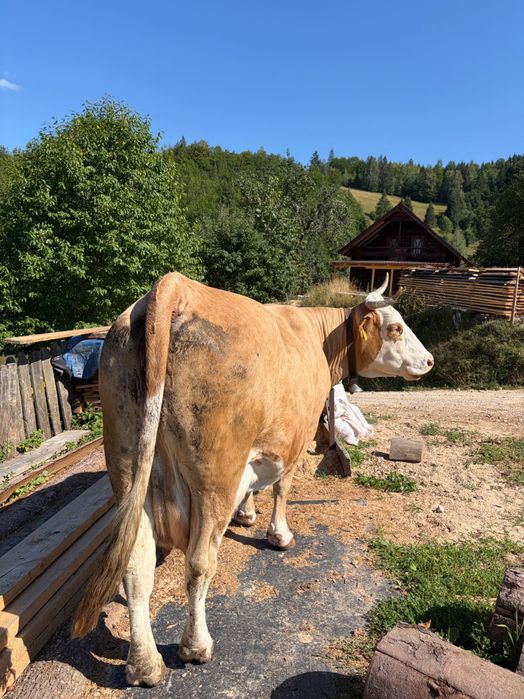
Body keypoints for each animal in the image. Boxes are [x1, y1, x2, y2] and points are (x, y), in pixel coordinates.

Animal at [72, 271, 433, 687]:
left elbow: (253, 486)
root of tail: (177, 286)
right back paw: (196, 646)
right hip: (214, 474)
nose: (429, 359)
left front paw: (245, 514)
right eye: (395, 328)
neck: (317, 337)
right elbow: (281, 488)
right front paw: (279, 535)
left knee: (136, 567)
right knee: (199, 563)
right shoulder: (293, 439)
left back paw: (144, 665)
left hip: (128, 465)